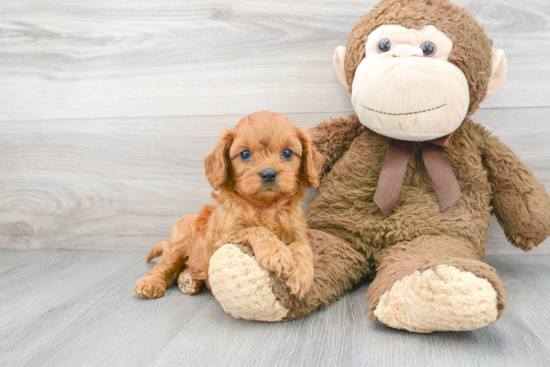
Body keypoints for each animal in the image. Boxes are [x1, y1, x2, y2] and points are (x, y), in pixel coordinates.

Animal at [134, 111, 324, 300]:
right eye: (245, 154)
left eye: (287, 153)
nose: (269, 173)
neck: (266, 205)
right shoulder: (225, 237)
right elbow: (256, 229)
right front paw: (276, 253)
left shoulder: (298, 231)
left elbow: (302, 247)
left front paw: (301, 274)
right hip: (178, 242)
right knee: (165, 266)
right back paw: (150, 283)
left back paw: (188, 280)